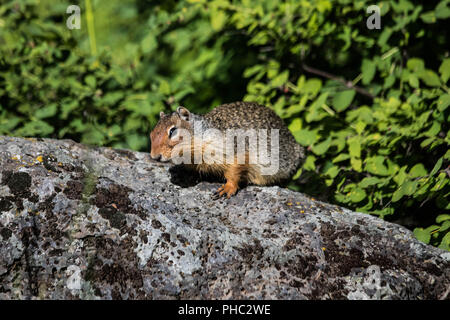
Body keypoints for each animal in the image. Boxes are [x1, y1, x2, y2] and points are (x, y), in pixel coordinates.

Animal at [149, 102, 304, 198]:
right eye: (151, 133)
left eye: (172, 131)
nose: (154, 157)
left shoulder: (236, 151)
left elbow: (234, 171)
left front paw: (228, 188)